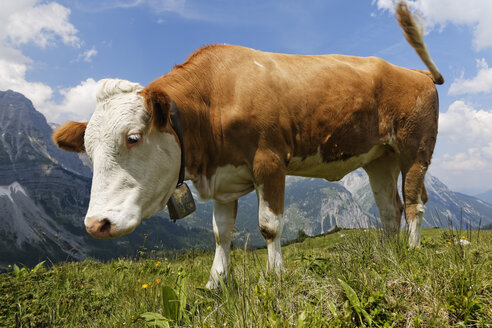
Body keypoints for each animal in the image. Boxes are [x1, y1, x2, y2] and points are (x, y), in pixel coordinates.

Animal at [52, 3, 442, 290]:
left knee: (414, 204)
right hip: (380, 157)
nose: (96, 224)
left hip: (415, 150)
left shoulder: (269, 162)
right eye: (88, 152)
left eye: (133, 137)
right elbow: (221, 233)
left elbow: (269, 225)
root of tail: (416, 73)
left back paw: (411, 251)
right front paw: (215, 283)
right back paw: (386, 256)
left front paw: (275, 276)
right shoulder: (223, 179)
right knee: (389, 208)